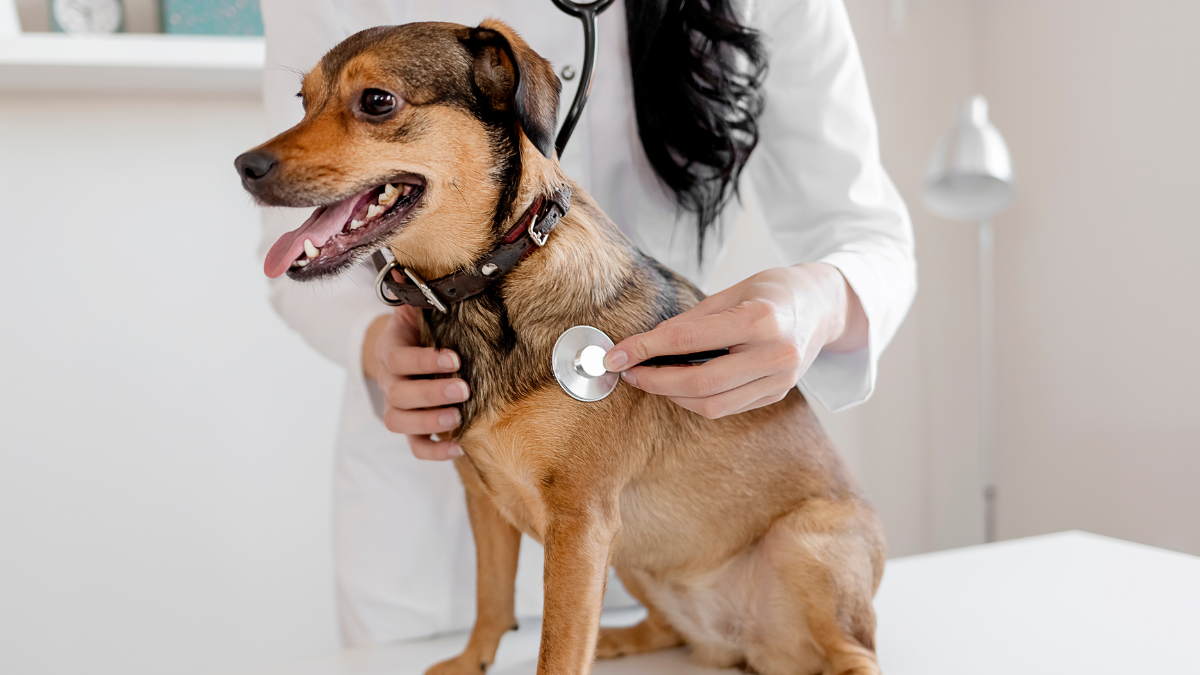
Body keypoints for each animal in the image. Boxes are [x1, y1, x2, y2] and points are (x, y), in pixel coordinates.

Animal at [236, 18, 883, 672]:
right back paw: (620, 641)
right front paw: (471, 660)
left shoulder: (581, 522)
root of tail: (750, 648)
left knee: (857, 652)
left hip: (802, 544)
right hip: (638, 558)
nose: (244, 165)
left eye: (376, 101)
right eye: (302, 101)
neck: (487, 285)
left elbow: (558, 647)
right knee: (665, 630)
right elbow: (491, 599)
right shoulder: (485, 499)